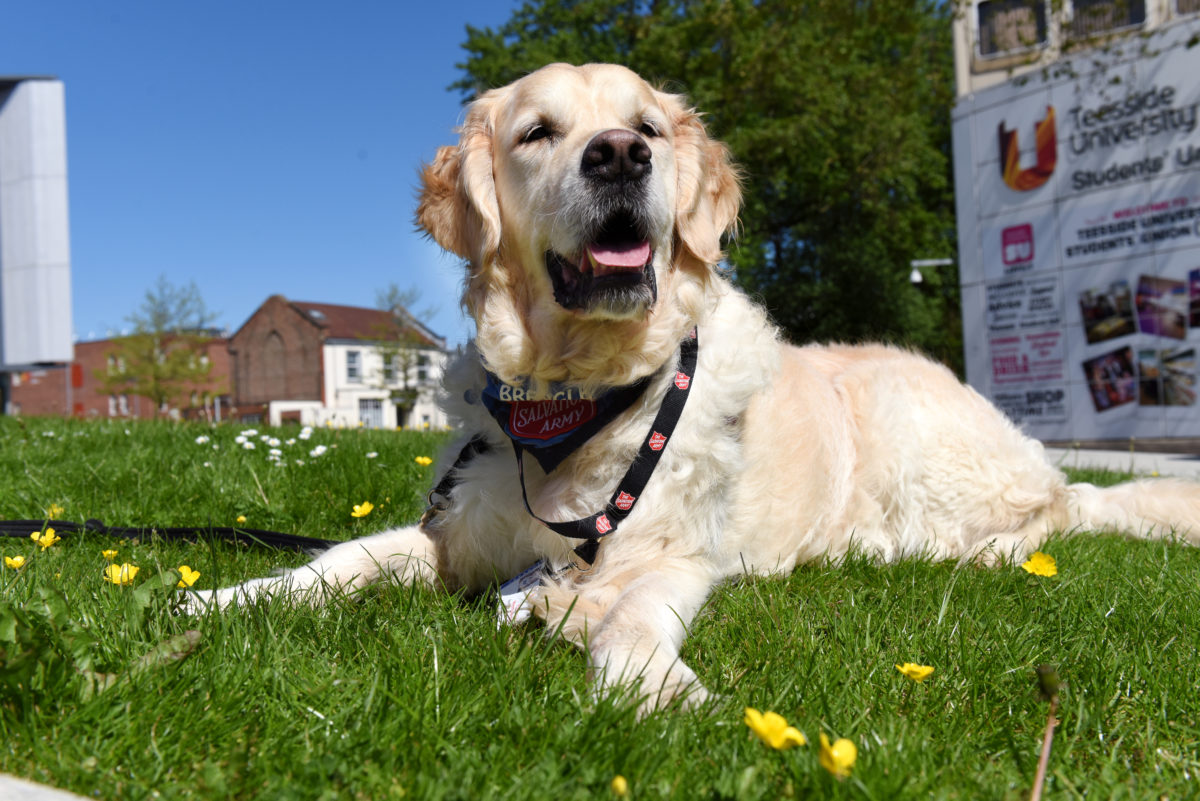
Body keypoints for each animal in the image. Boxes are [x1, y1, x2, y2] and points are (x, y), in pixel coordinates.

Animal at [187, 64, 1200, 714]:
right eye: (538, 133)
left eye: (647, 127)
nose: (617, 156)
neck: (579, 394)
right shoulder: (458, 529)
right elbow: (343, 561)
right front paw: (226, 600)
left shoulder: (675, 554)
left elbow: (631, 618)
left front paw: (654, 690)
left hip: (921, 427)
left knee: (1044, 517)